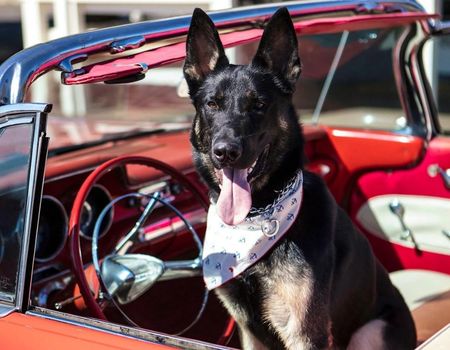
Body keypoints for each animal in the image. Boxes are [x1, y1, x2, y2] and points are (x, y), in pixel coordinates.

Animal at [182, 6, 414, 350]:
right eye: (212, 103)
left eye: (259, 104)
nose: (225, 151)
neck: (257, 215)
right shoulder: (250, 332)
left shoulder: (305, 332)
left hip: (370, 332)